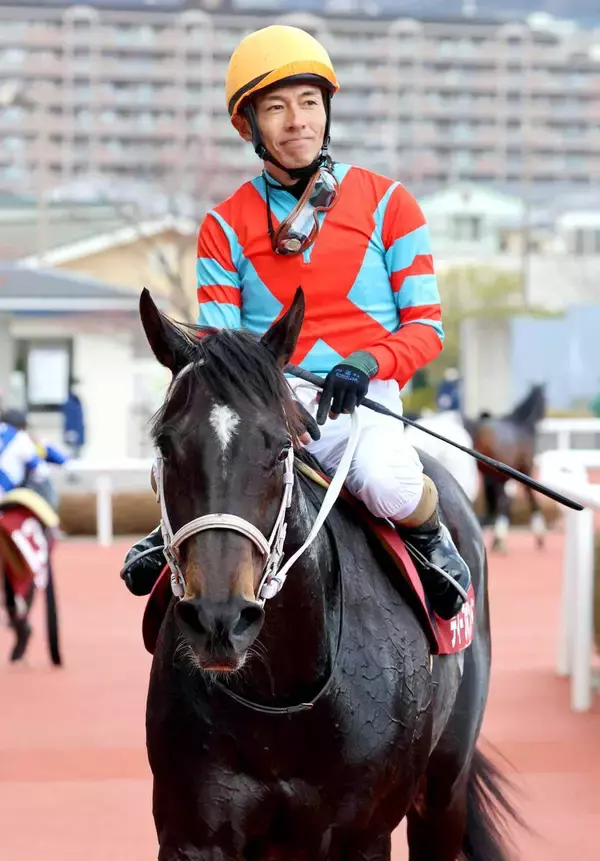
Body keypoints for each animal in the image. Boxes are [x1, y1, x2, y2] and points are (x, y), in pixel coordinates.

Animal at [140, 287, 519, 861]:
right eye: (166, 445)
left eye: (281, 447)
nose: (219, 619)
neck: (282, 699)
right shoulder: (194, 833)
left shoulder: (360, 834)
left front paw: (347, 376)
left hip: (443, 790)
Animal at [467, 385, 546, 553]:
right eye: (545, 398)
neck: (521, 424)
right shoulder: (525, 468)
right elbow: (530, 497)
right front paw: (540, 536)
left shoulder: (502, 476)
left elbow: (504, 501)